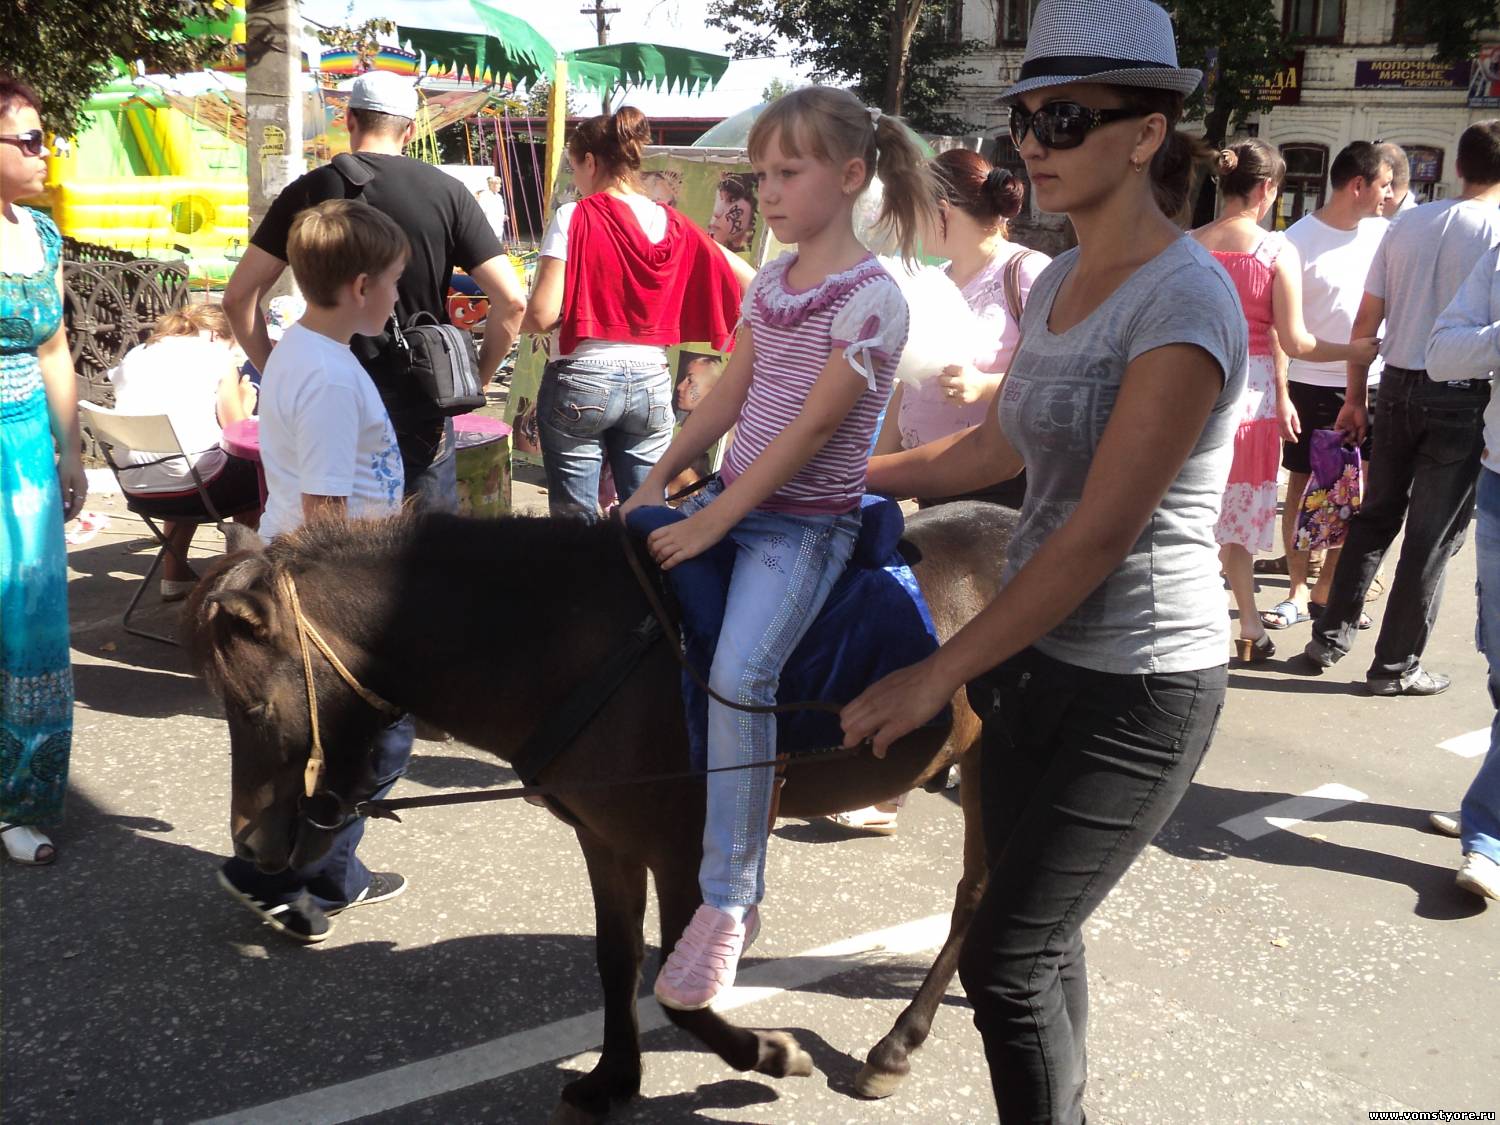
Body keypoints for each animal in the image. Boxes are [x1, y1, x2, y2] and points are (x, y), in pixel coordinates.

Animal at [187, 501, 1015, 1123]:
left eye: (254, 708)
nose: (252, 845)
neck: (580, 648)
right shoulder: (607, 841)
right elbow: (617, 960)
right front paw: (614, 1078)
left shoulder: (683, 849)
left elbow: (680, 987)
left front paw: (766, 1053)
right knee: (979, 889)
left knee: (978, 892)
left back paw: (897, 1044)